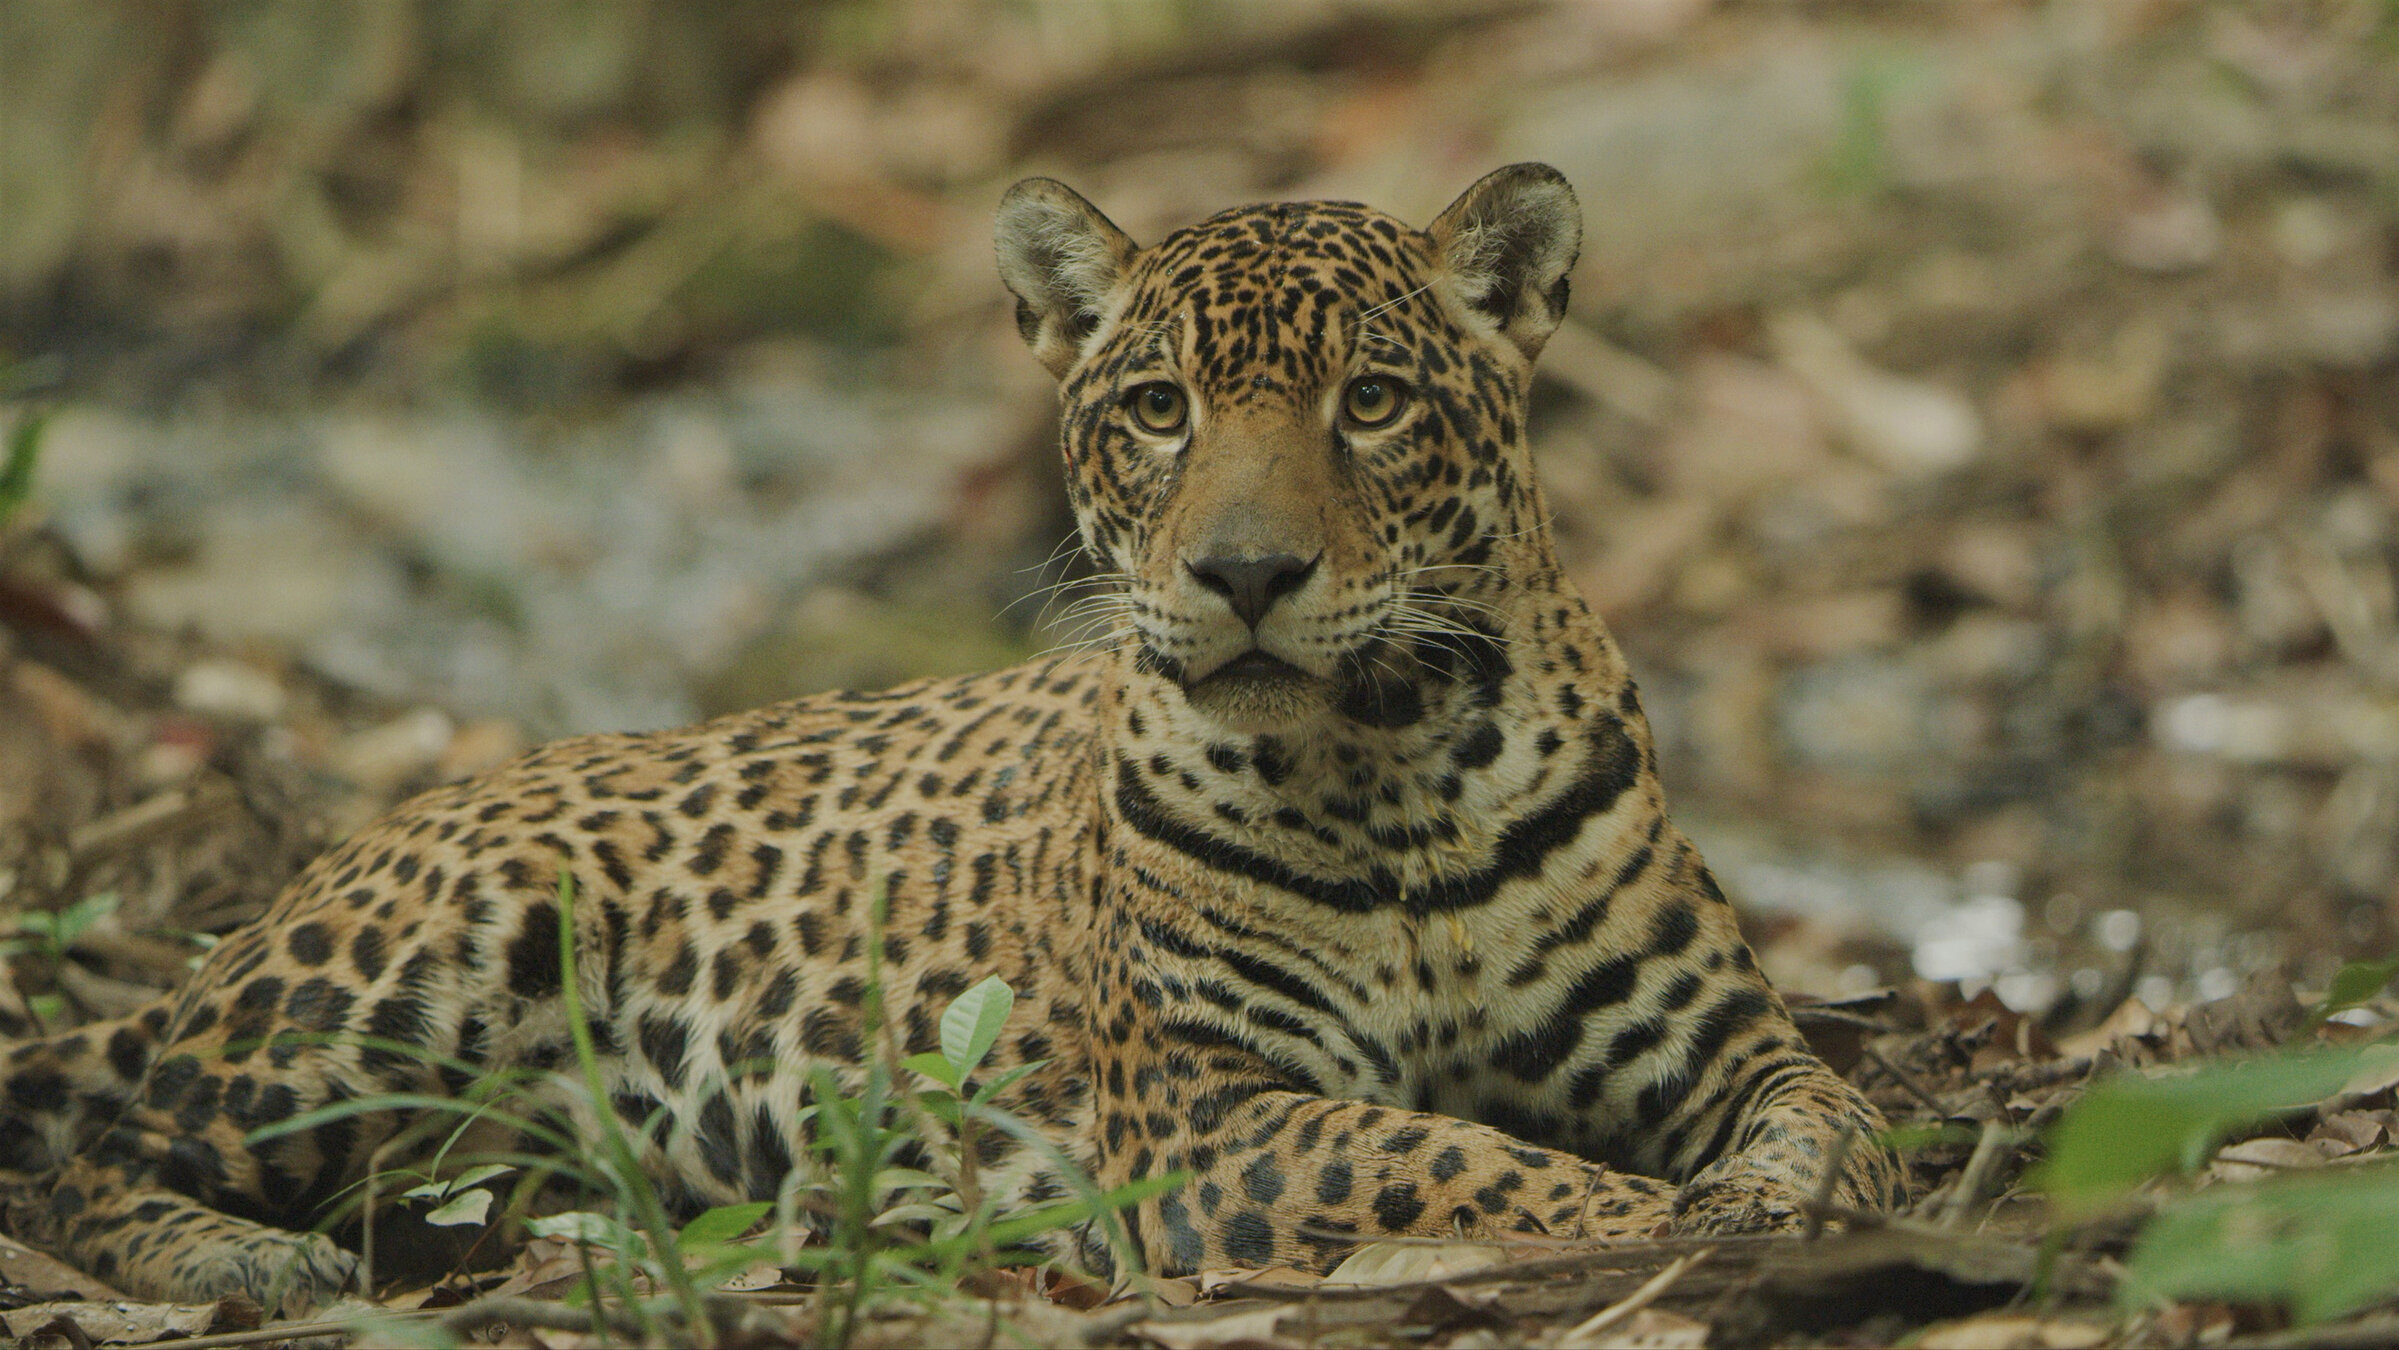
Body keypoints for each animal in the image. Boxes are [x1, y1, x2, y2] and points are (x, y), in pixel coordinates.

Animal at [0, 164, 1901, 1313]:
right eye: (1158, 411)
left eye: (1368, 403)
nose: (1244, 573)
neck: (1393, 766)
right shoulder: (1211, 1112)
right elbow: (1462, 1157)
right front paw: (1656, 1228)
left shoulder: (1722, 1042)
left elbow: (1832, 1118)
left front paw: (1773, 1206)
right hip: (413, 973)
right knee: (92, 1148)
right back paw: (245, 1269)